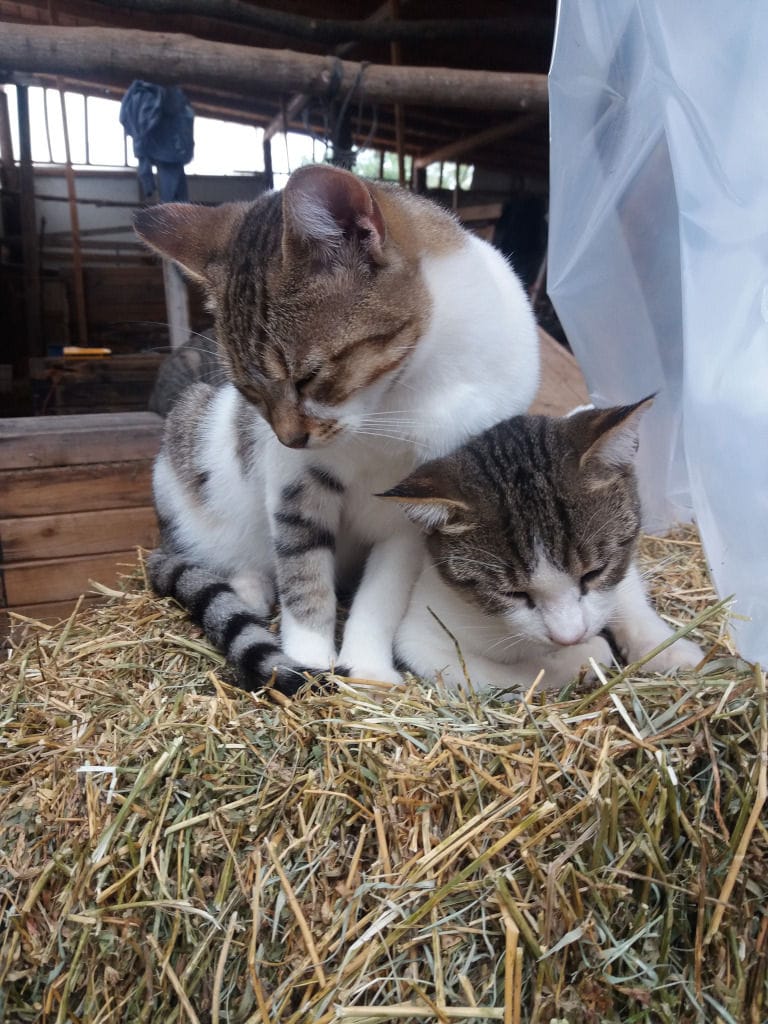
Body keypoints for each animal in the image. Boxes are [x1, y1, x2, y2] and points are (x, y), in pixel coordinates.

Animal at [382, 395, 708, 692]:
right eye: (513, 593)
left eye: (593, 573)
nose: (570, 637)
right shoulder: (422, 641)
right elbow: (510, 675)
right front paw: (585, 655)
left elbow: (623, 593)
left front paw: (668, 648)